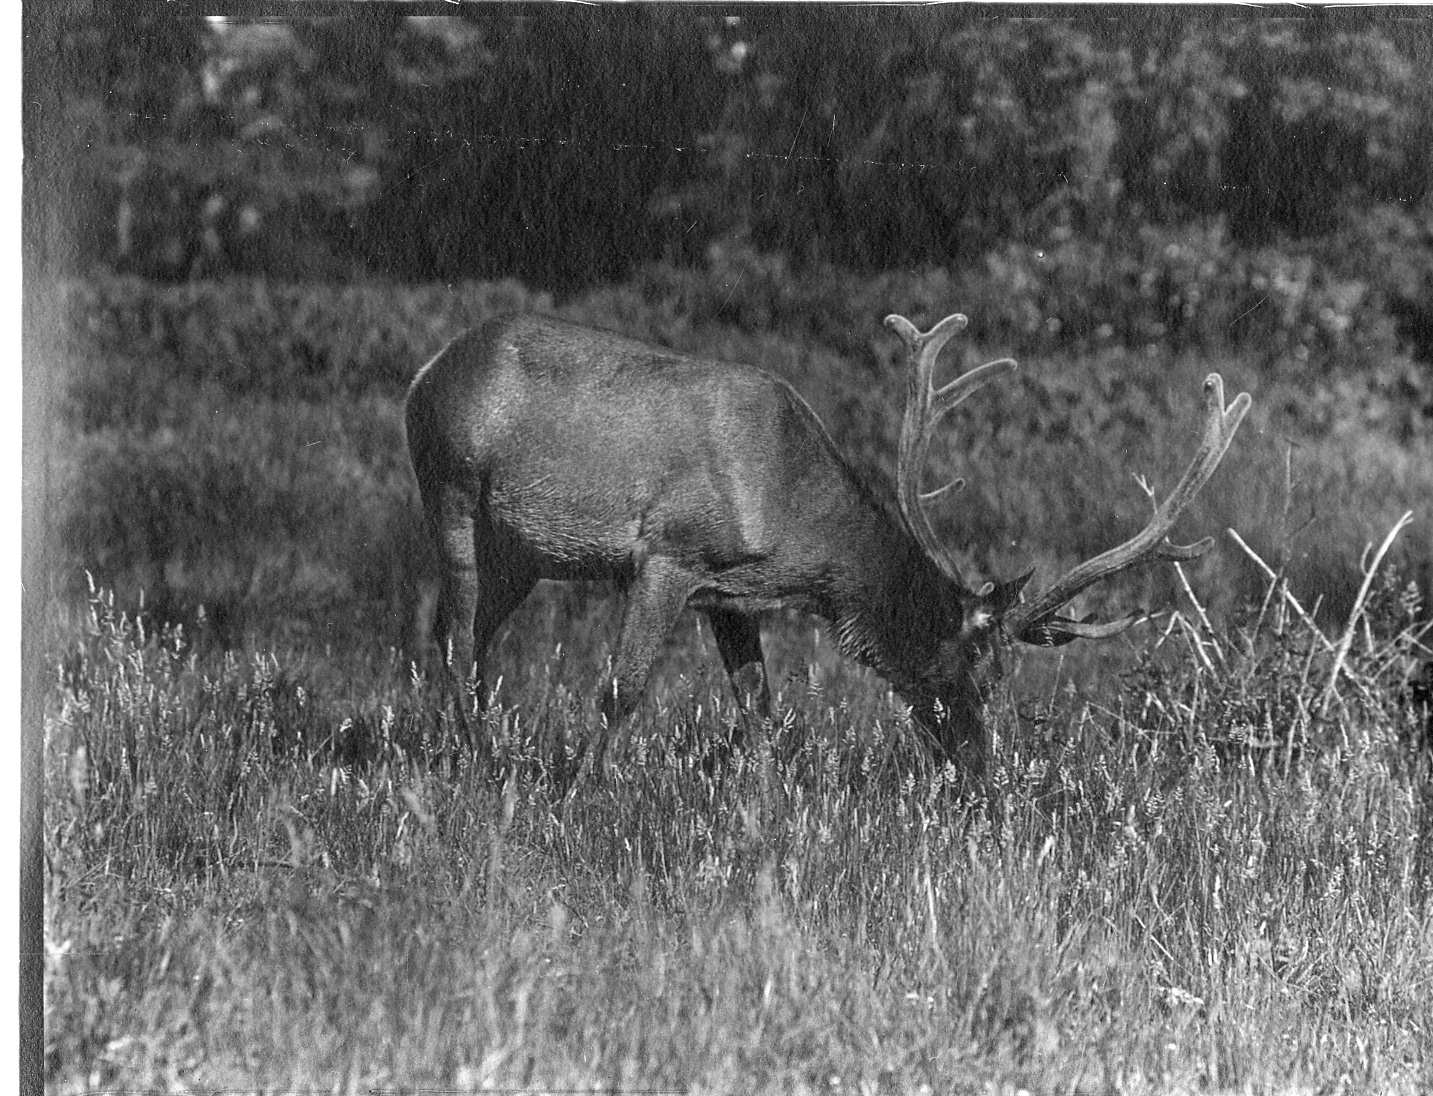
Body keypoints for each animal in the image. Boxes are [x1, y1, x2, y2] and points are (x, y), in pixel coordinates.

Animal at [404, 310, 1250, 781]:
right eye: (979, 666)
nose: (982, 773)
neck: (795, 537)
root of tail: (425, 370)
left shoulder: (728, 595)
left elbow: (759, 706)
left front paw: (769, 799)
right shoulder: (668, 554)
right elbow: (621, 690)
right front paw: (579, 791)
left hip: (519, 554)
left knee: (466, 640)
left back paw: (463, 750)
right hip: (450, 491)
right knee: (451, 637)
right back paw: (477, 764)